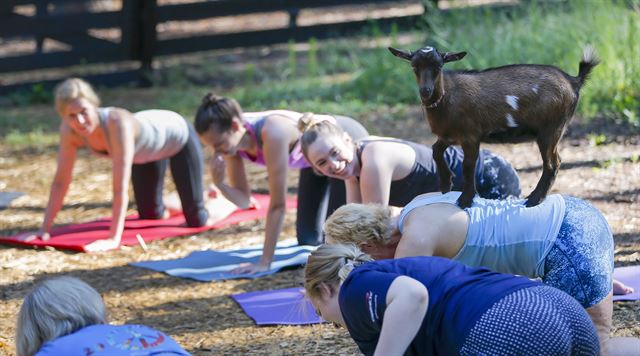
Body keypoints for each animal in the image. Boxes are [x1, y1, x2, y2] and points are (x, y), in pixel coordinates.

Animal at [390, 44, 600, 207]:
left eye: (438, 66)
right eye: (414, 66)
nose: (425, 91)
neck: (448, 97)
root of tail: (574, 81)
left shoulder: (471, 136)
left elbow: (468, 166)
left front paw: (465, 200)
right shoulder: (450, 137)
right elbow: (436, 151)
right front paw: (445, 185)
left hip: (551, 130)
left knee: (553, 163)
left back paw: (533, 199)